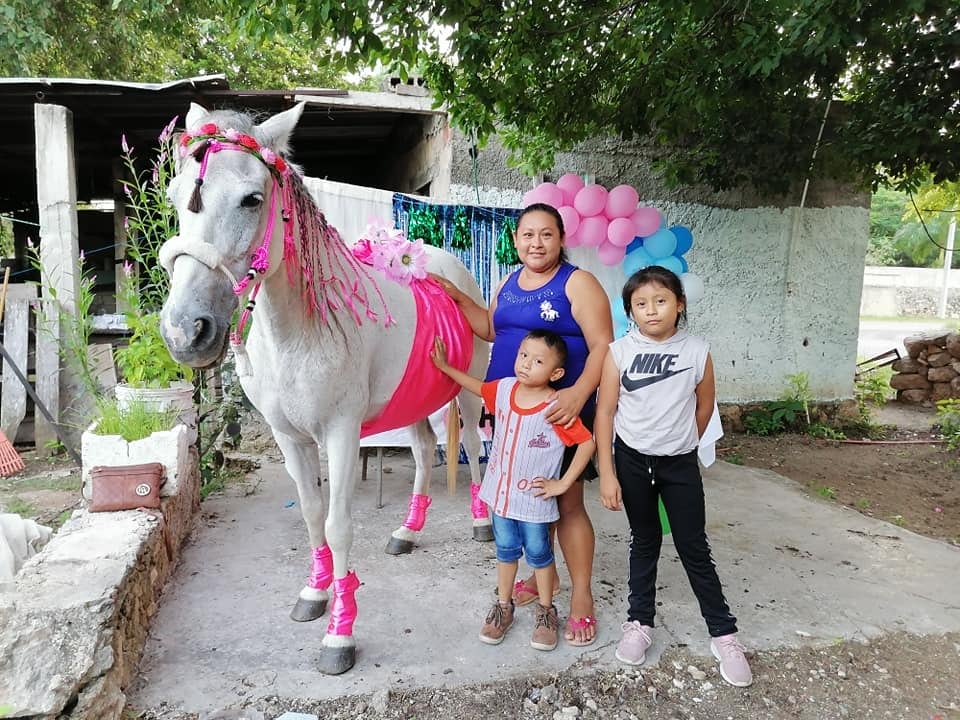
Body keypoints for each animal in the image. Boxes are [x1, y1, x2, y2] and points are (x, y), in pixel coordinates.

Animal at [161, 102, 492, 676]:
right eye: (177, 197)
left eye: (252, 199)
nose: (186, 331)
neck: (299, 332)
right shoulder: (289, 438)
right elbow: (312, 515)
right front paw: (315, 596)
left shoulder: (340, 434)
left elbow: (338, 525)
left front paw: (340, 634)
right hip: (414, 399)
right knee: (424, 451)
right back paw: (407, 533)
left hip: (467, 397)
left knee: (470, 446)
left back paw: (480, 523)